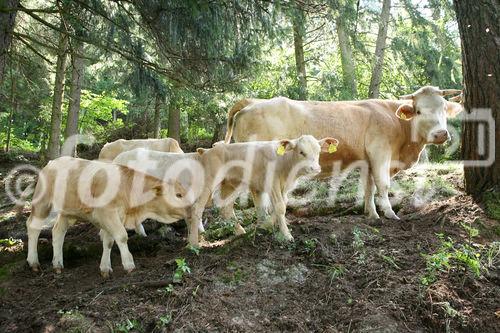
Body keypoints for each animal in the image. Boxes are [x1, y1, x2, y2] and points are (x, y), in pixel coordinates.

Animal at [225, 87, 462, 219]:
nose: (441, 134)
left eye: (443, 109)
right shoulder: (380, 153)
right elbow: (383, 184)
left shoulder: (368, 160)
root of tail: (252, 102)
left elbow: (369, 187)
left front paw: (371, 213)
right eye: (419, 111)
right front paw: (389, 213)